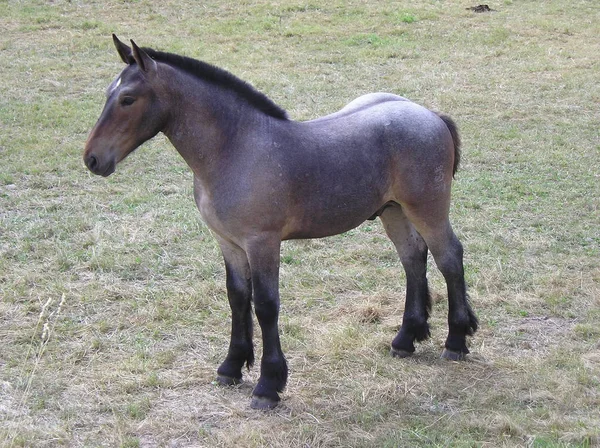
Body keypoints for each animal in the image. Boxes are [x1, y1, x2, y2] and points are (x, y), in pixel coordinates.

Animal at [85, 36, 478, 412]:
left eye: (128, 99)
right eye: (107, 94)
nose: (92, 159)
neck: (236, 150)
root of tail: (430, 115)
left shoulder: (262, 243)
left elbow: (265, 305)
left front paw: (267, 386)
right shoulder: (228, 242)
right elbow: (237, 298)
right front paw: (231, 367)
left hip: (427, 209)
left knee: (449, 257)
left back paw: (456, 341)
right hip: (393, 211)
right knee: (413, 259)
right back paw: (406, 339)